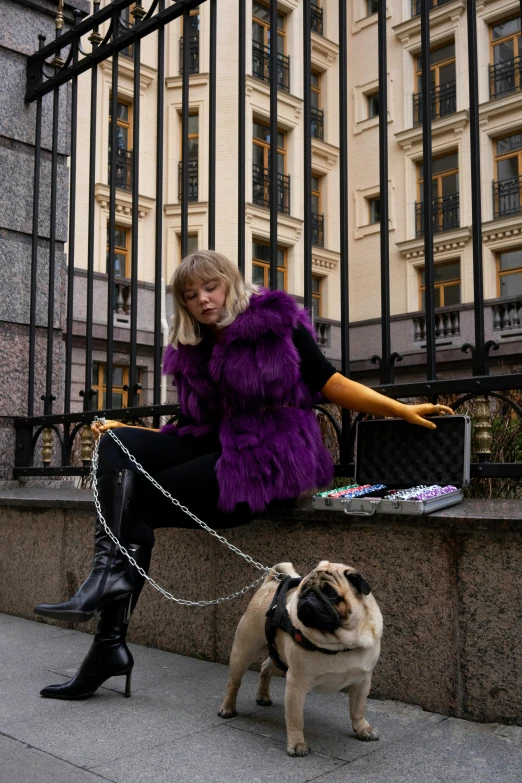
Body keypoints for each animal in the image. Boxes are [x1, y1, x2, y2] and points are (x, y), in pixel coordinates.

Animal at [216, 560, 382, 756]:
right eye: (304, 589)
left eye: (331, 593)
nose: (309, 595)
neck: (339, 643)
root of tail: (270, 583)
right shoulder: (296, 683)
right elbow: (295, 718)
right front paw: (296, 744)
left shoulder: (362, 681)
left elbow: (358, 708)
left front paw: (363, 729)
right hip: (243, 652)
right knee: (234, 683)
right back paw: (227, 708)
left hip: (279, 659)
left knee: (265, 668)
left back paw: (263, 696)